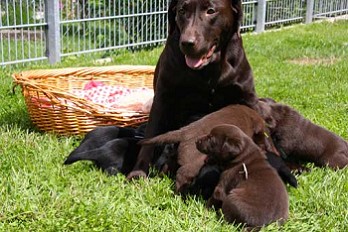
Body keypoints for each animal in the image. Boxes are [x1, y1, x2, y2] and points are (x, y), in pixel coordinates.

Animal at [128, 0, 260, 179]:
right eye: (182, 11)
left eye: (210, 11)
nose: (187, 43)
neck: (208, 69)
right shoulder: (162, 99)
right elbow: (151, 135)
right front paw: (138, 171)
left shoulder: (248, 97)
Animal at [140, 104, 274, 193]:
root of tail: (184, 131)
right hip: (195, 162)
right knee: (182, 174)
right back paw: (180, 194)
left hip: (175, 155)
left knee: (167, 167)